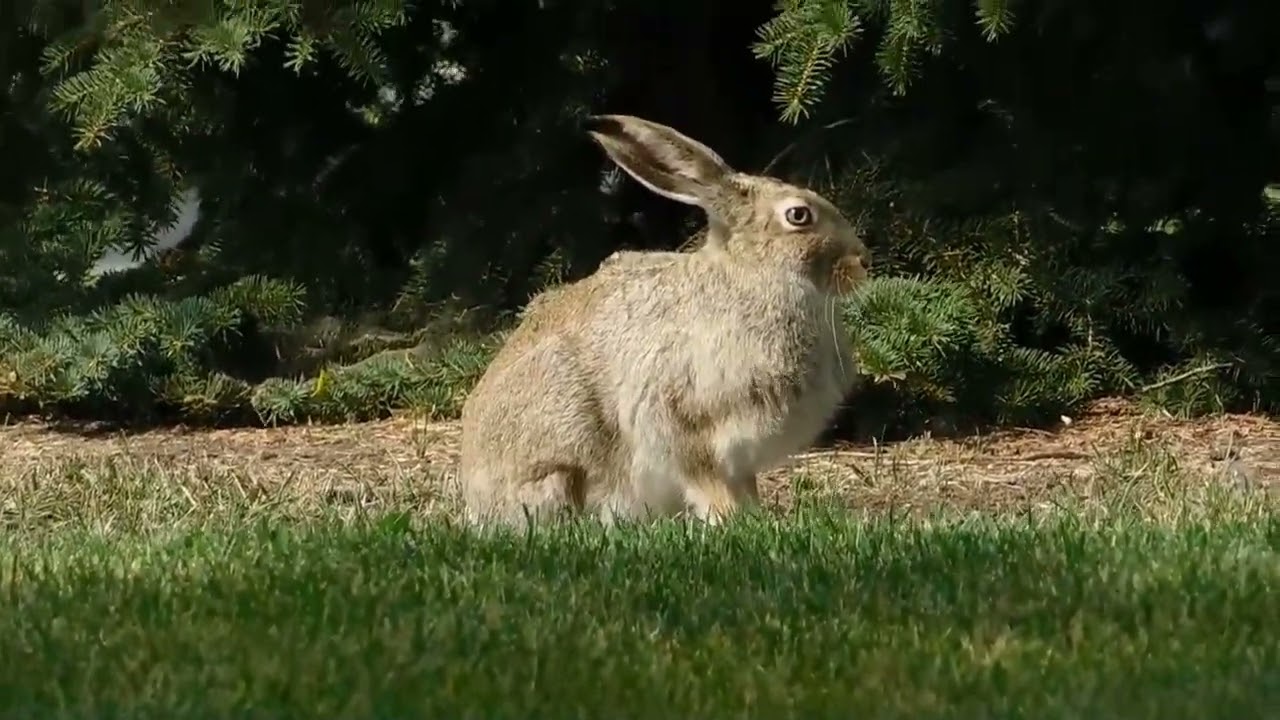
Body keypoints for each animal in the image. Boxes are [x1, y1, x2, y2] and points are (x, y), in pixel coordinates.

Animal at [459, 114, 871, 528]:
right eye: (799, 215)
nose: (863, 259)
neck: (756, 273)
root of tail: (476, 499)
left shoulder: (741, 459)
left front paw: (754, 516)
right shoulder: (681, 424)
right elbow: (706, 483)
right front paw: (728, 521)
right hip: (561, 460)